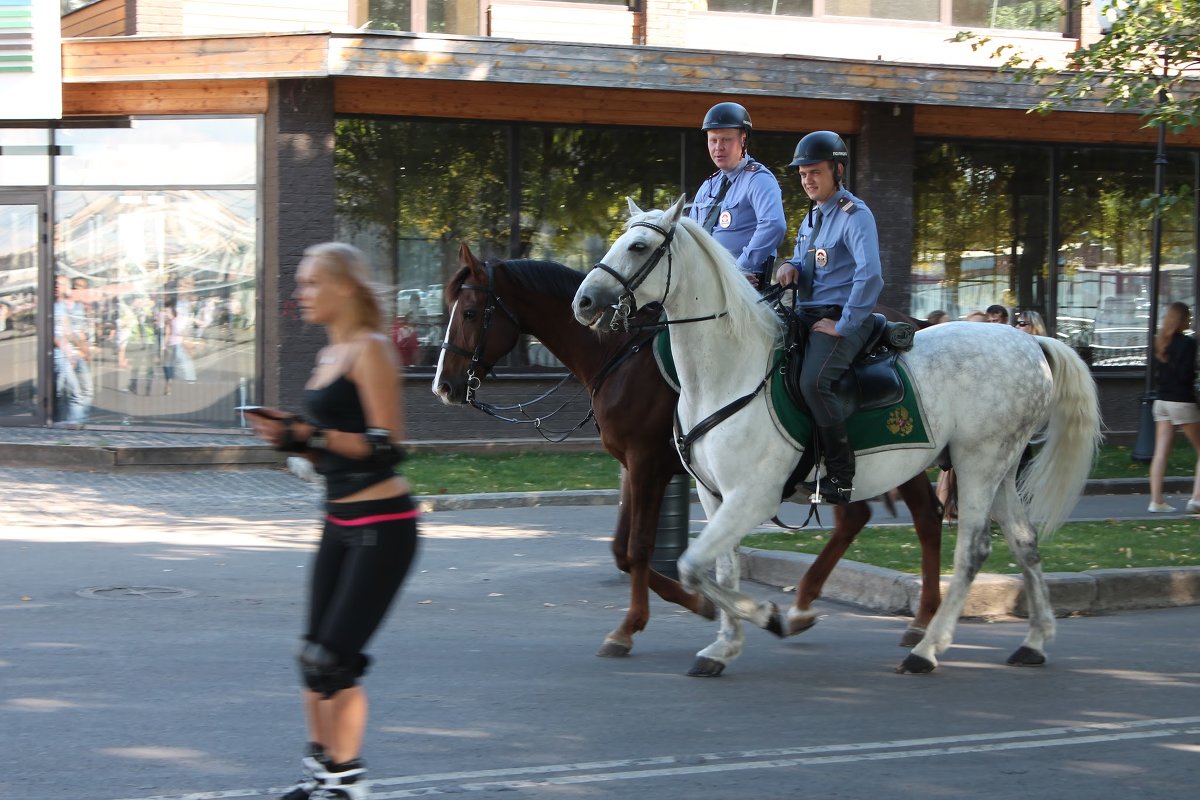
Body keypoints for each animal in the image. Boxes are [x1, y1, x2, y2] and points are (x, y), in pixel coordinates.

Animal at [436, 245, 940, 671]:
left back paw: (920, 624)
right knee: (858, 517)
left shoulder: (648, 464)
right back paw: (804, 609)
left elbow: (639, 548)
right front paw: (703, 605)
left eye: (471, 312)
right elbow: (622, 549)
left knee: (924, 517)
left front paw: (633, 626)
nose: (444, 385)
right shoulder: (632, 466)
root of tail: (912, 321)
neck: (619, 355)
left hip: (900, 455)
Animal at [568, 196, 1099, 681]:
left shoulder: (750, 496)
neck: (729, 372)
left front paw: (765, 615)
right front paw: (725, 645)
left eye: (639, 246)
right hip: (1001, 468)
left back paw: (926, 647)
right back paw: (1034, 640)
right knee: (1024, 543)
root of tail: (1029, 341)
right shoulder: (713, 494)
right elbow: (718, 567)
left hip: (978, 464)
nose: (584, 302)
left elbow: (691, 563)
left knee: (970, 550)